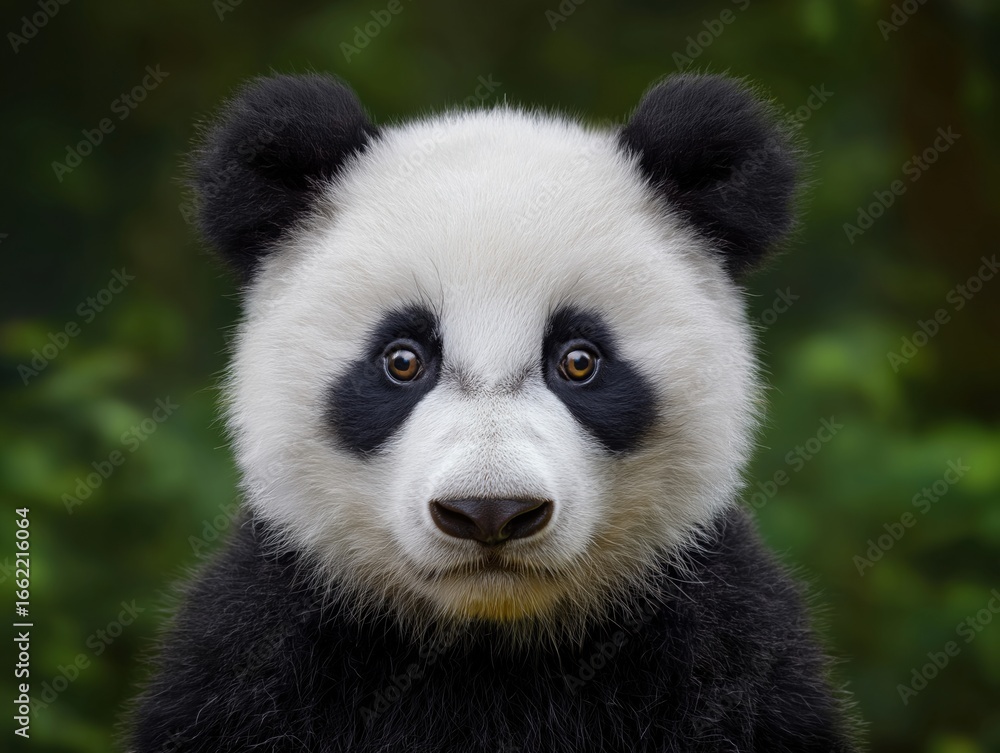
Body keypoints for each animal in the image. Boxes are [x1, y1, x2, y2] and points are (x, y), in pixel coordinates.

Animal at [128, 72, 860, 752]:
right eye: (402, 360)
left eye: (579, 360)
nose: (490, 513)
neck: (489, 644)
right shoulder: (258, 655)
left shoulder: (724, 652)